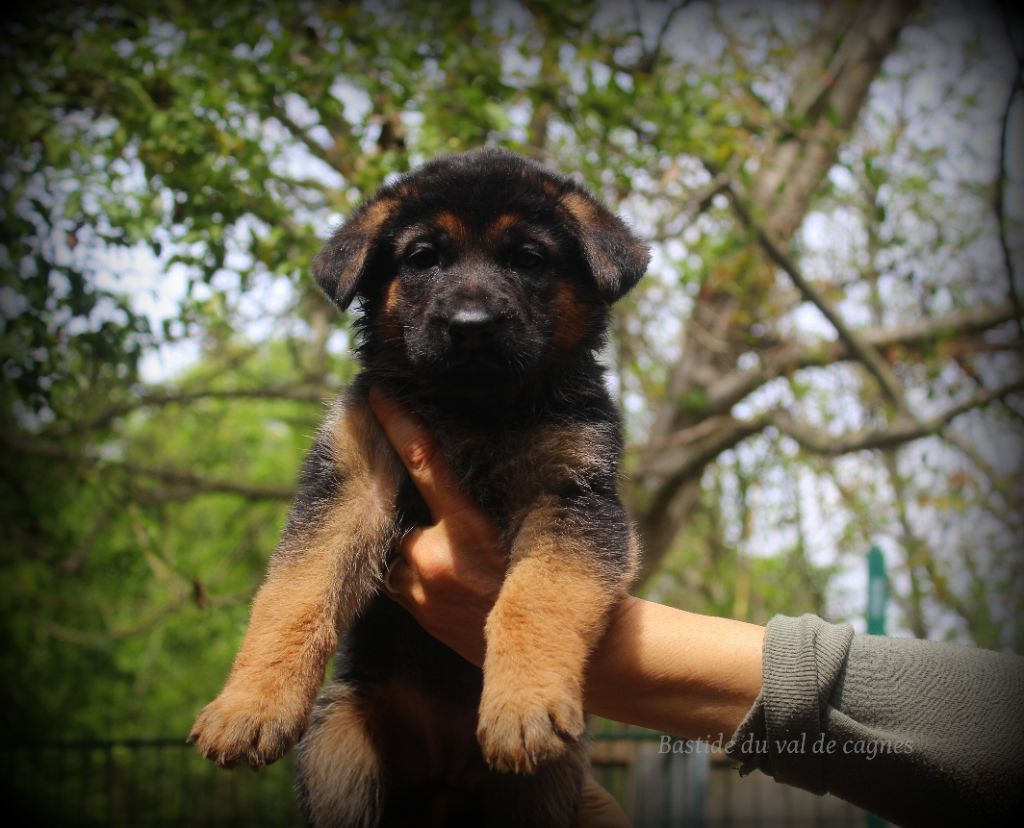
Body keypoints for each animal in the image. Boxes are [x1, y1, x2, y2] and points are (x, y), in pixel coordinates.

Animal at [188, 148, 647, 826]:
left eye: (528, 258)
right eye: (424, 257)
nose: (471, 325)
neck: (470, 410)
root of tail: (443, 773)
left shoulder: (573, 499)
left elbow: (536, 597)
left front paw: (523, 705)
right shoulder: (351, 487)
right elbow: (294, 595)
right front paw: (248, 706)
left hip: (548, 792)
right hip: (340, 753)